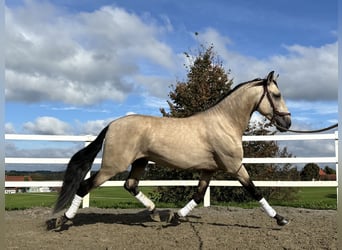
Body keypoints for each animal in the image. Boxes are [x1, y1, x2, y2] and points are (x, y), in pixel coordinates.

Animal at [45, 71, 292, 230]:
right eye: (277, 95)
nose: (287, 123)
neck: (224, 123)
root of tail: (113, 124)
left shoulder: (208, 170)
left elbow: (198, 195)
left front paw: (174, 217)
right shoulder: (235, 167)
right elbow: (255, 191)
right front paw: (280, 219)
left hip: (140, 162)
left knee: (130, 185)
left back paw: (155, 213)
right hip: (112, 166)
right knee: (85, 186)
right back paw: (62, 220)